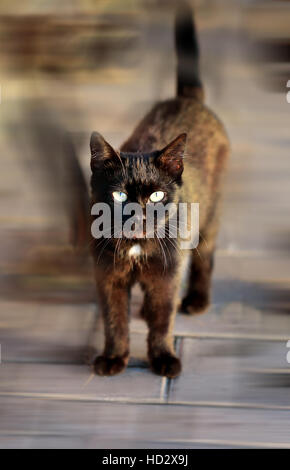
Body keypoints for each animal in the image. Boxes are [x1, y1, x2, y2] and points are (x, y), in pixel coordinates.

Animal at [89, 1, 229, 378]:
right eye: (119, 195)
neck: (138, 249)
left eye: (155, 196)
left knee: (206, 256)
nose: (137, 217)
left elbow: (164, 318)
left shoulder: (167, 274)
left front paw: (163, 358)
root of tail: (186, 99)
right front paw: (114, 357)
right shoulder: (109, 276)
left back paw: (196, 301)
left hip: (209, 218)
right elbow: (114, 320)